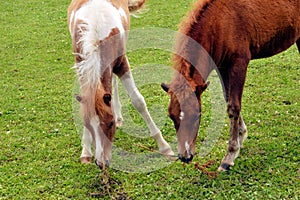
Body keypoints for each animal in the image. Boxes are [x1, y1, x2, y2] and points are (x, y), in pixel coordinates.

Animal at [67, 0, 172, 169]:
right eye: (88, 126)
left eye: (110, 124)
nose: (101, 163)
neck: (96, 34)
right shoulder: (81, 67)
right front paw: (86, 151)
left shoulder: (122, 63)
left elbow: (138, 101)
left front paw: (164, 147)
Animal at [162, 0, 300, 171]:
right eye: (172, 116)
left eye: (197, 115)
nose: (185, 156)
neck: (220, 22)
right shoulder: (222, 67)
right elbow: (228, 99)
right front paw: (241, 136)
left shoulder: (239, 63)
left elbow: (234, 106)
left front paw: (230, 155)